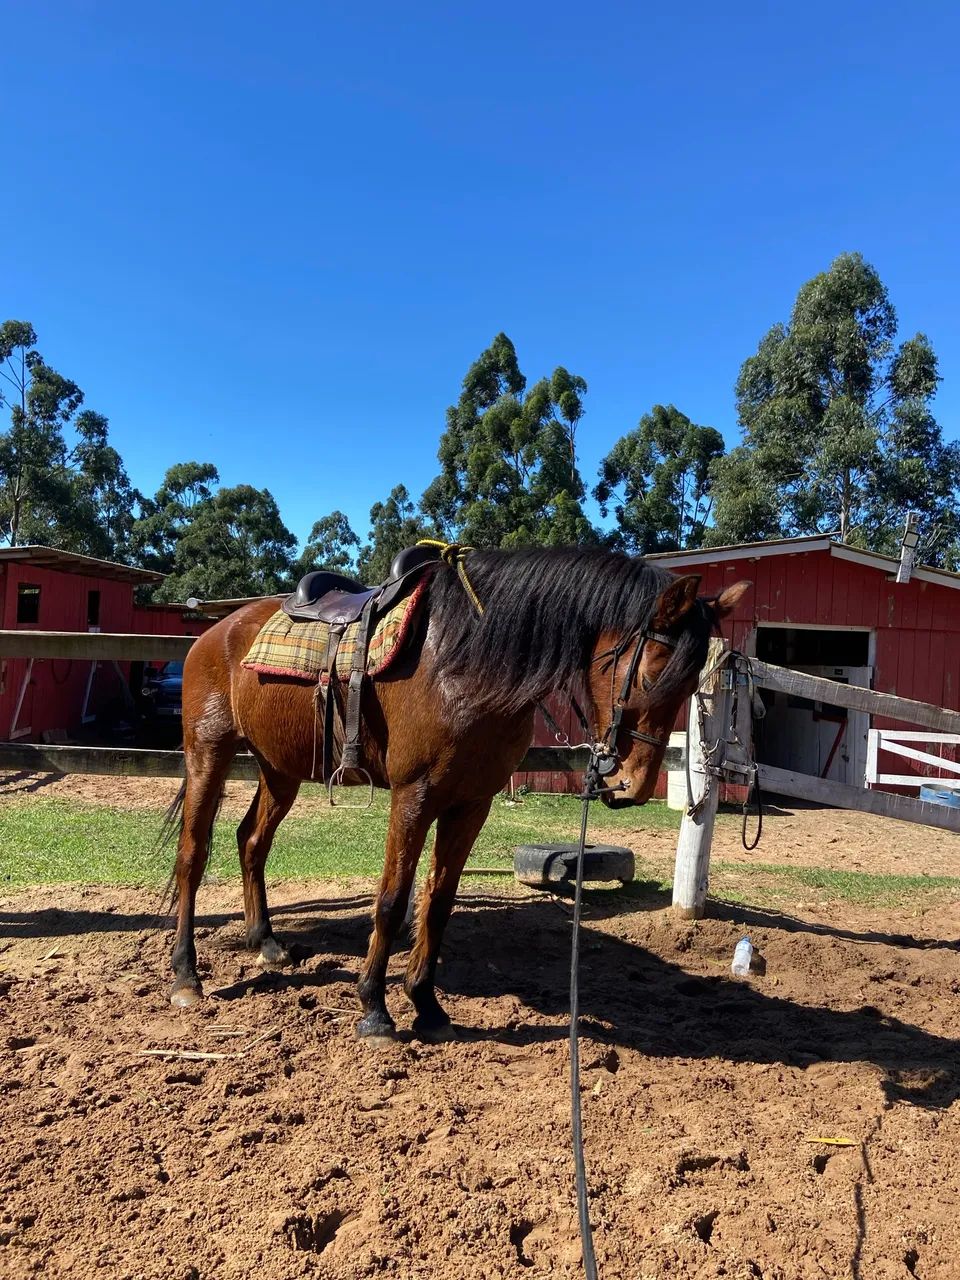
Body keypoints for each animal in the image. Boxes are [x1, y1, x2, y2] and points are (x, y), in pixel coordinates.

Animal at [166, 545, 748, 1043]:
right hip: (208, 754)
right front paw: (375, 1010)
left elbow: (439, 900)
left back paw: (265, 942)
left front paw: (426, 1006)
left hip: (280, 770)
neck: (466, 663)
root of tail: (216, 631)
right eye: (650, 672)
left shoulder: (472, 803)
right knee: (193, 855)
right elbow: (392, 899)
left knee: (251, 842)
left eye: (692, 682)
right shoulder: (413, 796)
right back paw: (185, 977)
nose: (632, 785)